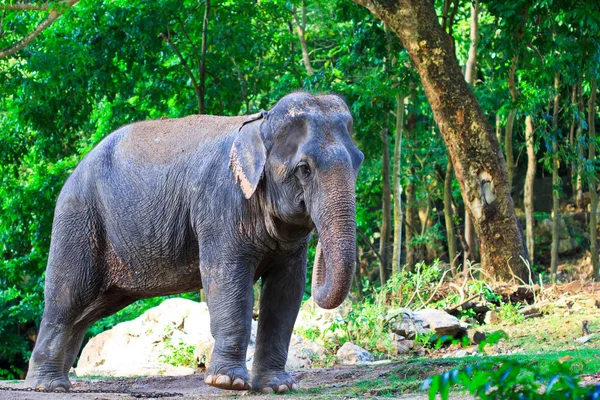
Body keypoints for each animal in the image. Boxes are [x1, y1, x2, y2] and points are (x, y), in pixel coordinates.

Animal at [25, 91, 364, 394]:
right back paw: (48, 386)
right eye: (304, 169)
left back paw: (54, 380)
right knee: (68, 297)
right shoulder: (220, 207)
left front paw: (278, 387)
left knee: (90, 309)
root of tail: (76, 169)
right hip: (79, 219)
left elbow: (285, 292)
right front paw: (228, 383)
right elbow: (227, 281)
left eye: (358, 161)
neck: (260, 123)